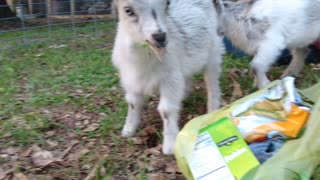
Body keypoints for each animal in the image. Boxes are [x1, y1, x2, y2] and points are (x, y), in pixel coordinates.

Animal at [111, 0, 224, 155]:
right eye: (128, 10)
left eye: (167, 4)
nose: (160, 37)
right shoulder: (131, 78)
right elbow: (133, 103)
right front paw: (128, 130)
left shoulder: (170, 78)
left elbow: (166, 109)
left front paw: (170, 145)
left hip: (213, 52)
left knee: (213, 83)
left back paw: (212, 110)